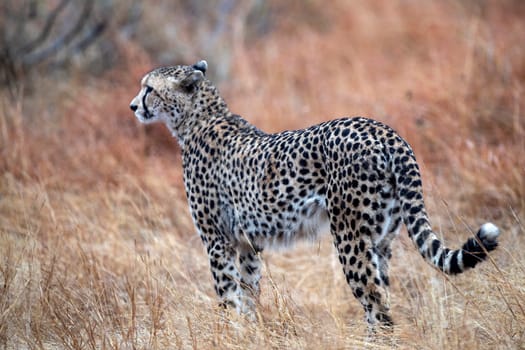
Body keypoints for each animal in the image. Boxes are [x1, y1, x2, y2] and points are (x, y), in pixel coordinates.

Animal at [130, 60, 500, 330]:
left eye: (149, 88)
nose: (133, 105)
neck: (200, 119)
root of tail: (385, 131)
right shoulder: (248, 243)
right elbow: (248, 292)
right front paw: (248, 331)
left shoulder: (217, 241)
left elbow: (228, 295)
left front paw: (228, 333)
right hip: (382, 237)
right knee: (384, 292)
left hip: (350, 235)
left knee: (374, 298)